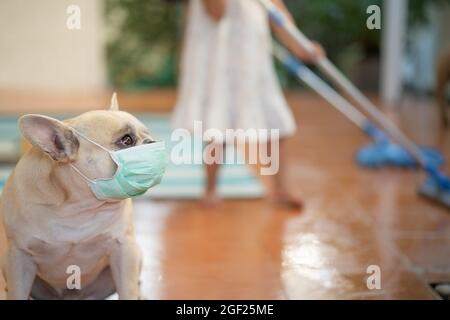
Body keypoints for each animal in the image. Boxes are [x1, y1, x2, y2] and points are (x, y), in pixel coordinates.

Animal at [0, 94, 153, 298]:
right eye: (126, 140)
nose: (153, 142)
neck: (76, 205)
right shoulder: (19, 256)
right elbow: (17, 292)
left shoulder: (124, 248)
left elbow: (128, 289)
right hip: (7, 262)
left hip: (135, 255)